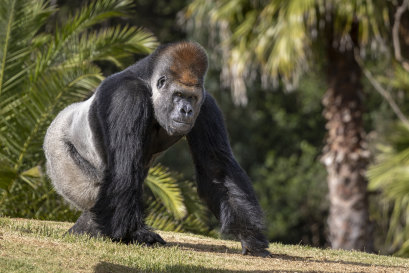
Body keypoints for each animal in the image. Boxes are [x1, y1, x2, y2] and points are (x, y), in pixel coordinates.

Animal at [43, 40, 270, 255]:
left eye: (192, 97)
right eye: (178, 95)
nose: (187, 110)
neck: (148, 84)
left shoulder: (206, 105)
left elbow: (215, 167)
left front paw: (250, 235)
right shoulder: (127, 96)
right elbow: (124, 170)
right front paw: (132, 235)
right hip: (59, 152)